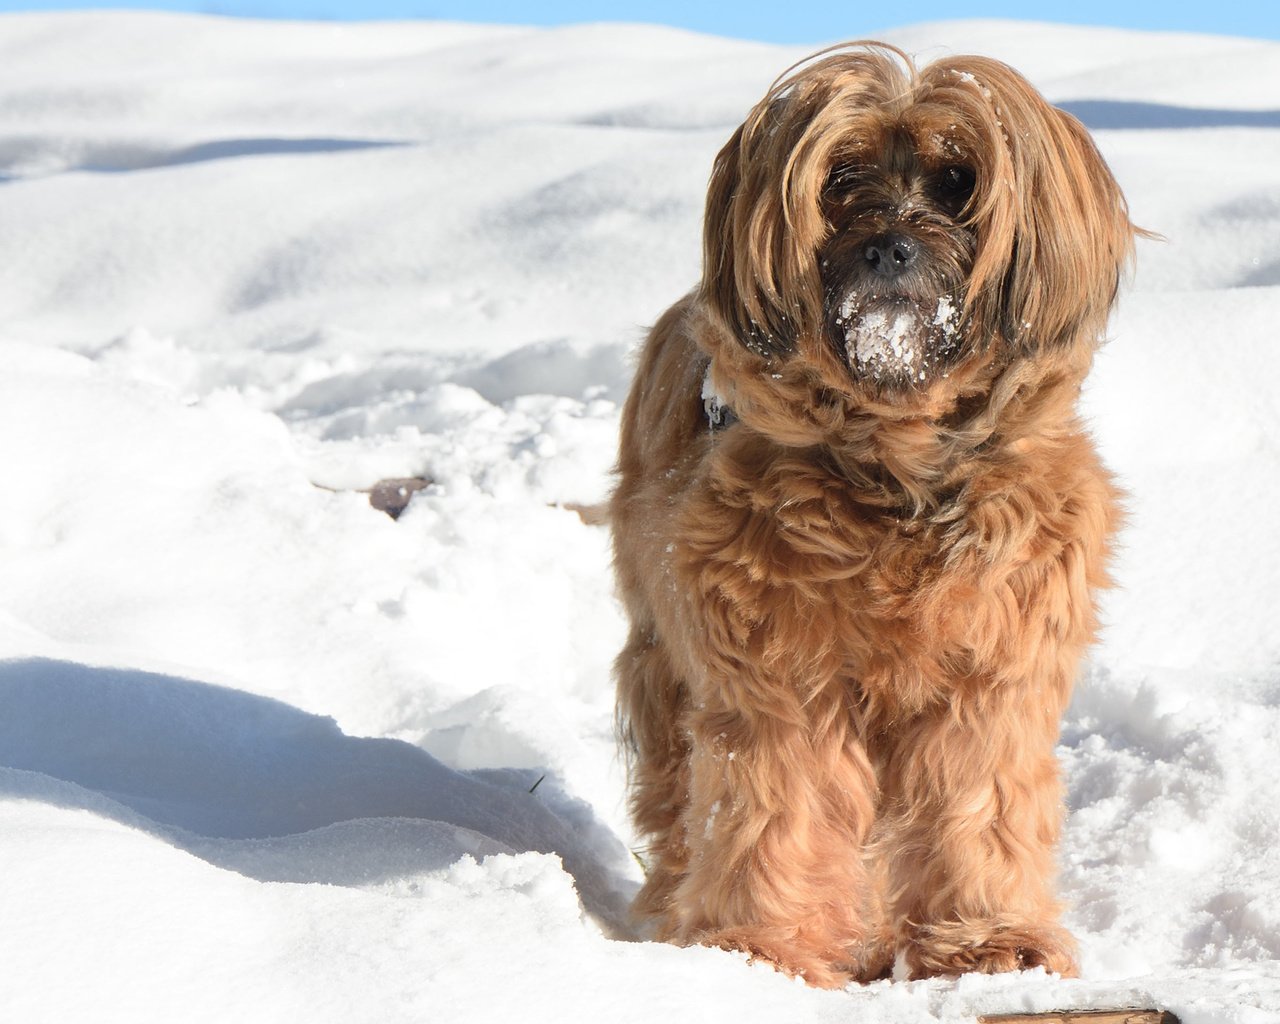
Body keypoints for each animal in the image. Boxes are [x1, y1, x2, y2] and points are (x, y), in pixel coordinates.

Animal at [611, 44, 1141, 988]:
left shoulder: (988, 679)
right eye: (842, 177)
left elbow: (976, 802)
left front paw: (985, 941)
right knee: (678, 794)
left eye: (959, 179)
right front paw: (759, 953)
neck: (897, 471)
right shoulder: (778, 675)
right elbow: (776, 806)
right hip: (661, 656)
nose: (889, 248)